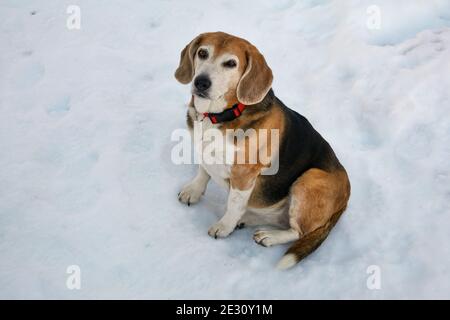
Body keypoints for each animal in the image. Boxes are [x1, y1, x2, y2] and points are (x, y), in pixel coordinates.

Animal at [174, 31, 350, 268]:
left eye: (231, 63)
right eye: (202, 53)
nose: (201, 82)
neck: (219, 115)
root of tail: (345, 199)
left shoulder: (244, 173)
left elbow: (234, 203)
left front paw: (224, 226)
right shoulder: (203, 151)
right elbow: (203, 171)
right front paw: (193, 191)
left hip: (310, 179)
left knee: (298, 232)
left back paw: (268, 235)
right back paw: (247, 220)